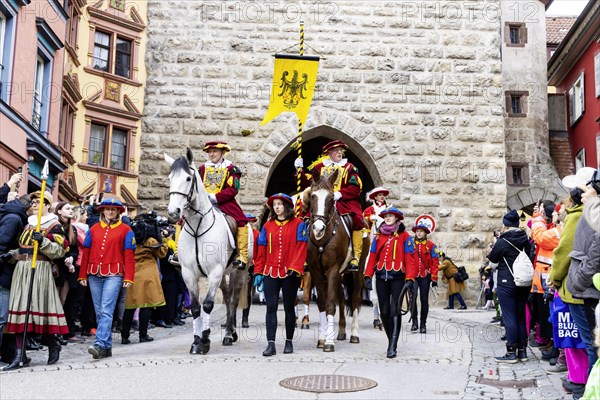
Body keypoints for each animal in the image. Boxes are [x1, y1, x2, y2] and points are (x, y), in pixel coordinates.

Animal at [163, 148, 252, 354]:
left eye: (188, 178)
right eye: (170, 177)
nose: (173, 212)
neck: (198, 228)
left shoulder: (215, 272)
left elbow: (208, 304)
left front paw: (205, 341)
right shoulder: (188, 273)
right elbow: (196, 307)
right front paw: (196, 341)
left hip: (239, 271)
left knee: (233, 299)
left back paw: (228, 335)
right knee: (227, 296)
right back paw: (230, 332)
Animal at [300, 168, 366, 350]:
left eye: (331, 198)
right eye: (312, 196)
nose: (318, 228)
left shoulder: (332, 270)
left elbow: (330, 305)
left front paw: (329, 342)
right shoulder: (316, 271)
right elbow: (323, 304)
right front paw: (323, 338)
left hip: (357, 272)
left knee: (355, 300)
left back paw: (354, 334)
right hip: (340, 275)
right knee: (342, 300)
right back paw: (342, 331)